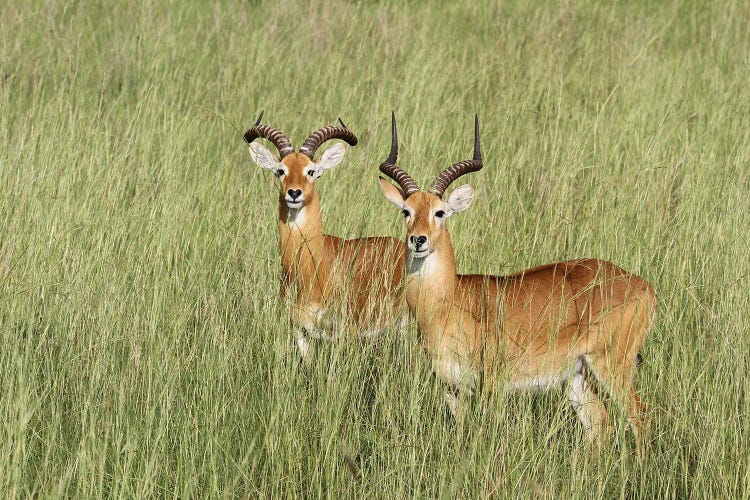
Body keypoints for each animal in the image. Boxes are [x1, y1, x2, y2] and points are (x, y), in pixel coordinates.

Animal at [378, 113, 656, 454]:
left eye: (440, 212)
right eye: (407, 211)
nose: (418, 240)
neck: (449, 302)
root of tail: (643, 286)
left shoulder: (492, 386)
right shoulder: (452, 389)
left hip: (614, 365)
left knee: (640, 418)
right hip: (577, 377)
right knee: (600, 425)